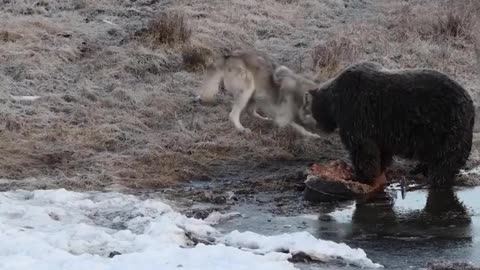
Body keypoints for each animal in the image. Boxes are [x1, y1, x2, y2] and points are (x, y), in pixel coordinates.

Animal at [310, 61, 474, 189]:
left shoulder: (356, 112)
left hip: (446, 125)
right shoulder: (380, 128)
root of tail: (470, 103)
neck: (335, 101)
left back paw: (435, 179)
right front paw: (379, 170)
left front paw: (362, 176)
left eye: (314, 111)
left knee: (444, 160)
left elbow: (362, 148)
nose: (320, 128)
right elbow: (381, 151)